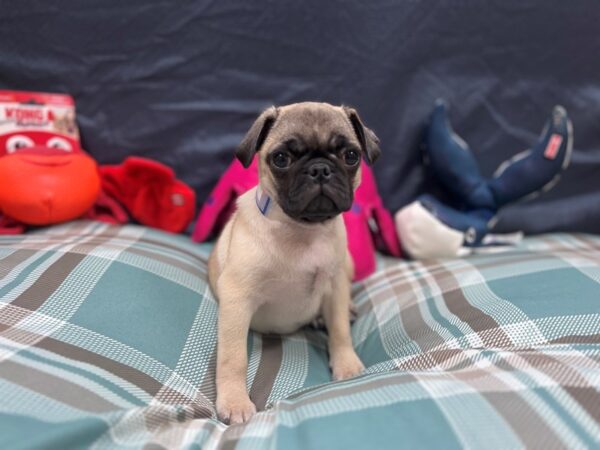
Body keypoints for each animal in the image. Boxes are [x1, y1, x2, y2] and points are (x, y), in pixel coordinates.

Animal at [210, 102, 380, 426]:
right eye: (281, 159)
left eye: (350, 155)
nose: (320, 169)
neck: (302, 231)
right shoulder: (237, 298)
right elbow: (233, 356)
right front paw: (235, 402)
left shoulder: (336, 286)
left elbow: (339, 329)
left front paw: (347, 365)